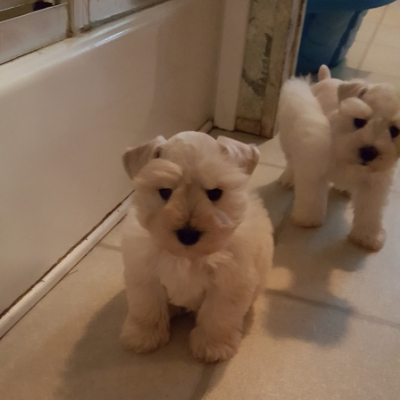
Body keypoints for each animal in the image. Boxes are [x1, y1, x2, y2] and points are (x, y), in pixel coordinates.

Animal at [120, 131, 274, 362]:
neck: (188, 257)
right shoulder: (145, 275)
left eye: (215, 193)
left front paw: (213, 345)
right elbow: (147, 307)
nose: (187, 234)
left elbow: (217, 316)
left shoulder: (227, 284)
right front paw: (144, 335)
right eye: (165, 192)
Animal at [278, 65, 400, 250]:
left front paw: (366, 236)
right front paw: (308, 218)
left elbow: (370, 211)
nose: (368, 152)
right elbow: (312, 195)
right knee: (292, 160)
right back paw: (289, 178)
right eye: (359, 121)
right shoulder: (314, 164)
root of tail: (327, 78)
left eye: (394, 131)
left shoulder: (374, 185)